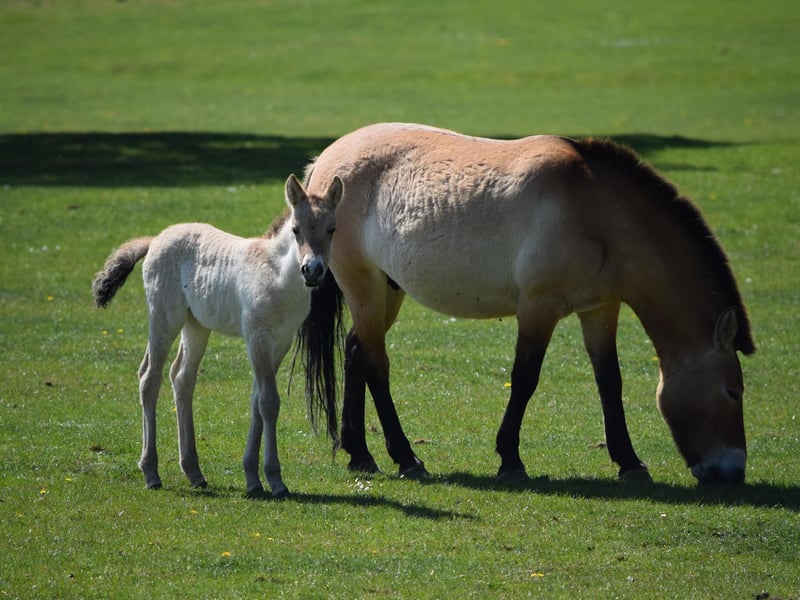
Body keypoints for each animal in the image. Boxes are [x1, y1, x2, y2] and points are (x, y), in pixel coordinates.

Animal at [92, 174, 343, 498]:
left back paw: (194, 472)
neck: (278, 278)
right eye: (296, 229)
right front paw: (274, 480)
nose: (312, 270)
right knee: (149, 377)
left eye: (331, 229)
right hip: (165, 319)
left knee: (182, 378)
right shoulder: (257, 338)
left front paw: (252, 478)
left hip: (196, 326)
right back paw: (151, 472)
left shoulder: (281, 342)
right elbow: (269, 402)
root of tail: (155, 239)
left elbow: (256, 400)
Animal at [298, 122, 756, 485]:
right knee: (376, 363)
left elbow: (609, 381)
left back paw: (361, 455)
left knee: (356, 350)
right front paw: (511, 460)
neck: (596, 213)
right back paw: (406, 457)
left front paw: (629, 462)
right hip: (363, 285)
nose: (733, 472)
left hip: (386, 291)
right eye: (733, 391)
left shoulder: (600, 309)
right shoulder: (538, 309)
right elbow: (525, 379)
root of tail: (324, 162)